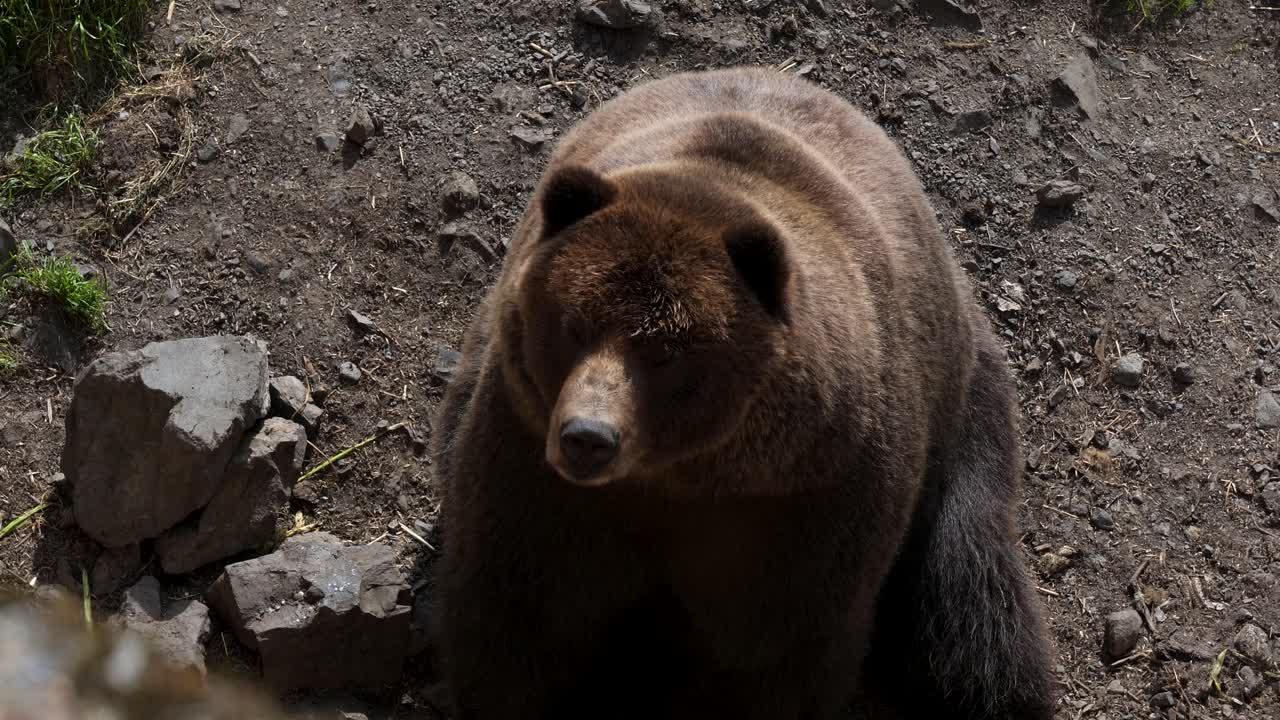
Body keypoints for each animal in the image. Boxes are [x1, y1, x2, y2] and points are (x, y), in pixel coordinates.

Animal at [431, 67, 1055, 720]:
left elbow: (770, 663)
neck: (678, 478)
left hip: (959, 407)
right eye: (574, 325)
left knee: (974, 602)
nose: (587, 438)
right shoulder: (531, 465)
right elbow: (520, 624)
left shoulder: (801, 507)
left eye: (666, 351)